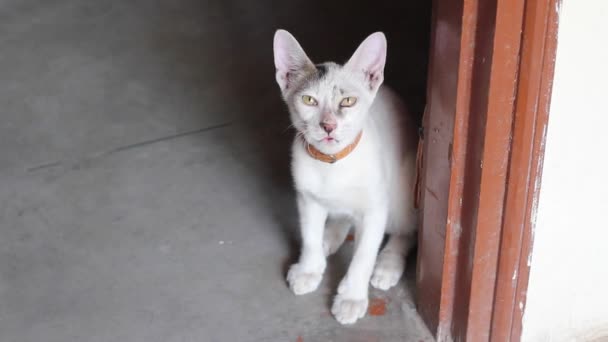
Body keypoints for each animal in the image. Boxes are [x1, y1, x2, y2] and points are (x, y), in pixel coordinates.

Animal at [274, 28, 420, 324]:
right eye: (309, 100)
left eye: (348, 101)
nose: (328, 125)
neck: (333, 164)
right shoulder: (306, 198)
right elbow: (309, 235)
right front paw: (309, 268)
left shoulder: (376, 208)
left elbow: (364, 254)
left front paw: (352, 297)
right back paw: (329, 237)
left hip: (403, 185)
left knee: (407, 230)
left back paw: (387, 263)